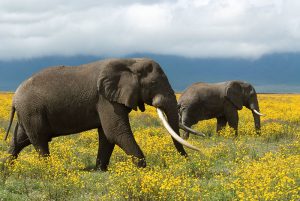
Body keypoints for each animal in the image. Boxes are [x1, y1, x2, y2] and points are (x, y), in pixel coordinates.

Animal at [3, 58, 199, 171]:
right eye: (153, 83)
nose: (187, 161)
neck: (130, 62)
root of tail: (15, 97)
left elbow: (107, 135)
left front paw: (100, 170)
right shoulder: (105, 99)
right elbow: (116, 132)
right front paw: (142, 168)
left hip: (28, 112)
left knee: (21, 139)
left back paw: (7, 167)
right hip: (32, 110)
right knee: (39, 139)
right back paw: (49, 170)